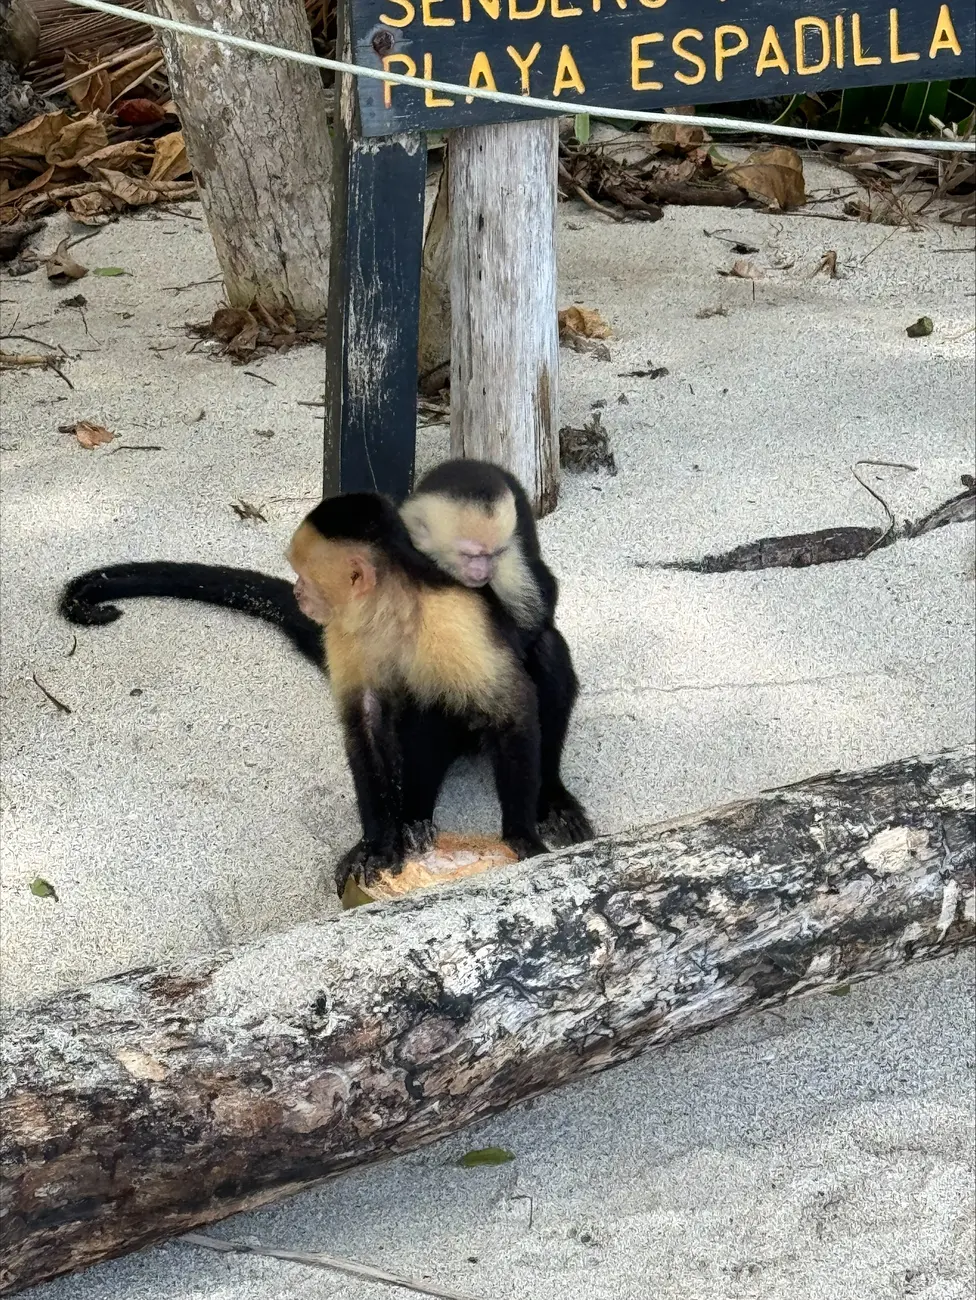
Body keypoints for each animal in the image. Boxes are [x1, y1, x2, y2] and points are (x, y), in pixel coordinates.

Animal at [286, 492, 551, 890]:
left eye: (304, 575)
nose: (297, 591)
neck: (391, 611)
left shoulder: (455, 619)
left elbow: (510, 709)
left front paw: (521, 835)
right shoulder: (345, 631)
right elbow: (367, 721)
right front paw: (379, 844)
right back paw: (409, 827)